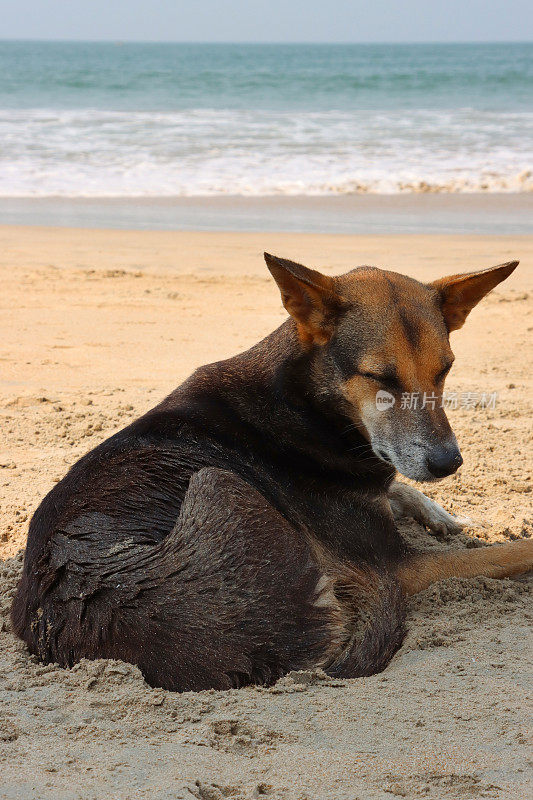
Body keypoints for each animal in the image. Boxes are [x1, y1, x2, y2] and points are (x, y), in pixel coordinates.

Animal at [10, 253, 528, 692]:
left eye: (445, 370)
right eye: (381, 378)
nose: (449, 463)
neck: (307, 403)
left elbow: (397, 486)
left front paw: (443, 515)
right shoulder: (400, 565)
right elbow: (509, 551)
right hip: (215, 479)